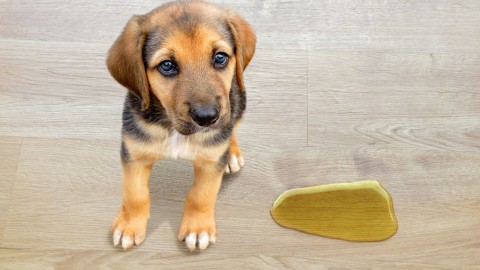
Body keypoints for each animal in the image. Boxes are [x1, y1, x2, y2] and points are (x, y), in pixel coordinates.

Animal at [105, 1, 255, 252]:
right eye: (167, 65)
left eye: (220, 57)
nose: (207, 118)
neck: (174, 129)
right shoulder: (134, 155)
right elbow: (135, 195)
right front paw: (129, 226)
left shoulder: (210, 163)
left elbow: (201, 196)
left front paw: (197, 228)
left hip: (238, 101)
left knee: (232, 125)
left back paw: (231, 153)